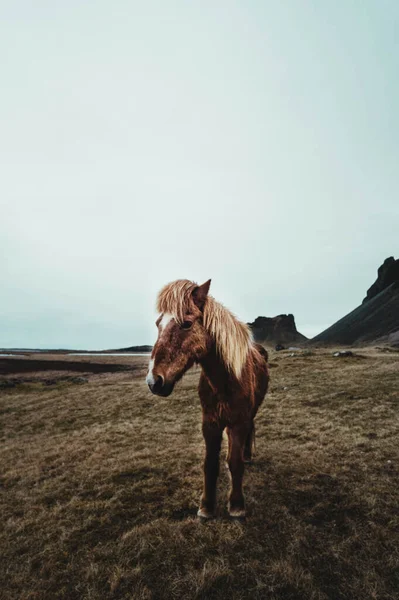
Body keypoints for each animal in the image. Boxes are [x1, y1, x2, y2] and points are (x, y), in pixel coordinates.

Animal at [145, 278, 270, 516]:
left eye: (186, 323)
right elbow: (210, 463)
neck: (225, 382)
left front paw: (237, 506)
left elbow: (235, 462)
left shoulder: (238, 422)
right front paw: (206, 507)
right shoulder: (210, 423)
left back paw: (248, 455)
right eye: (157, 324)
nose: (153, 381)